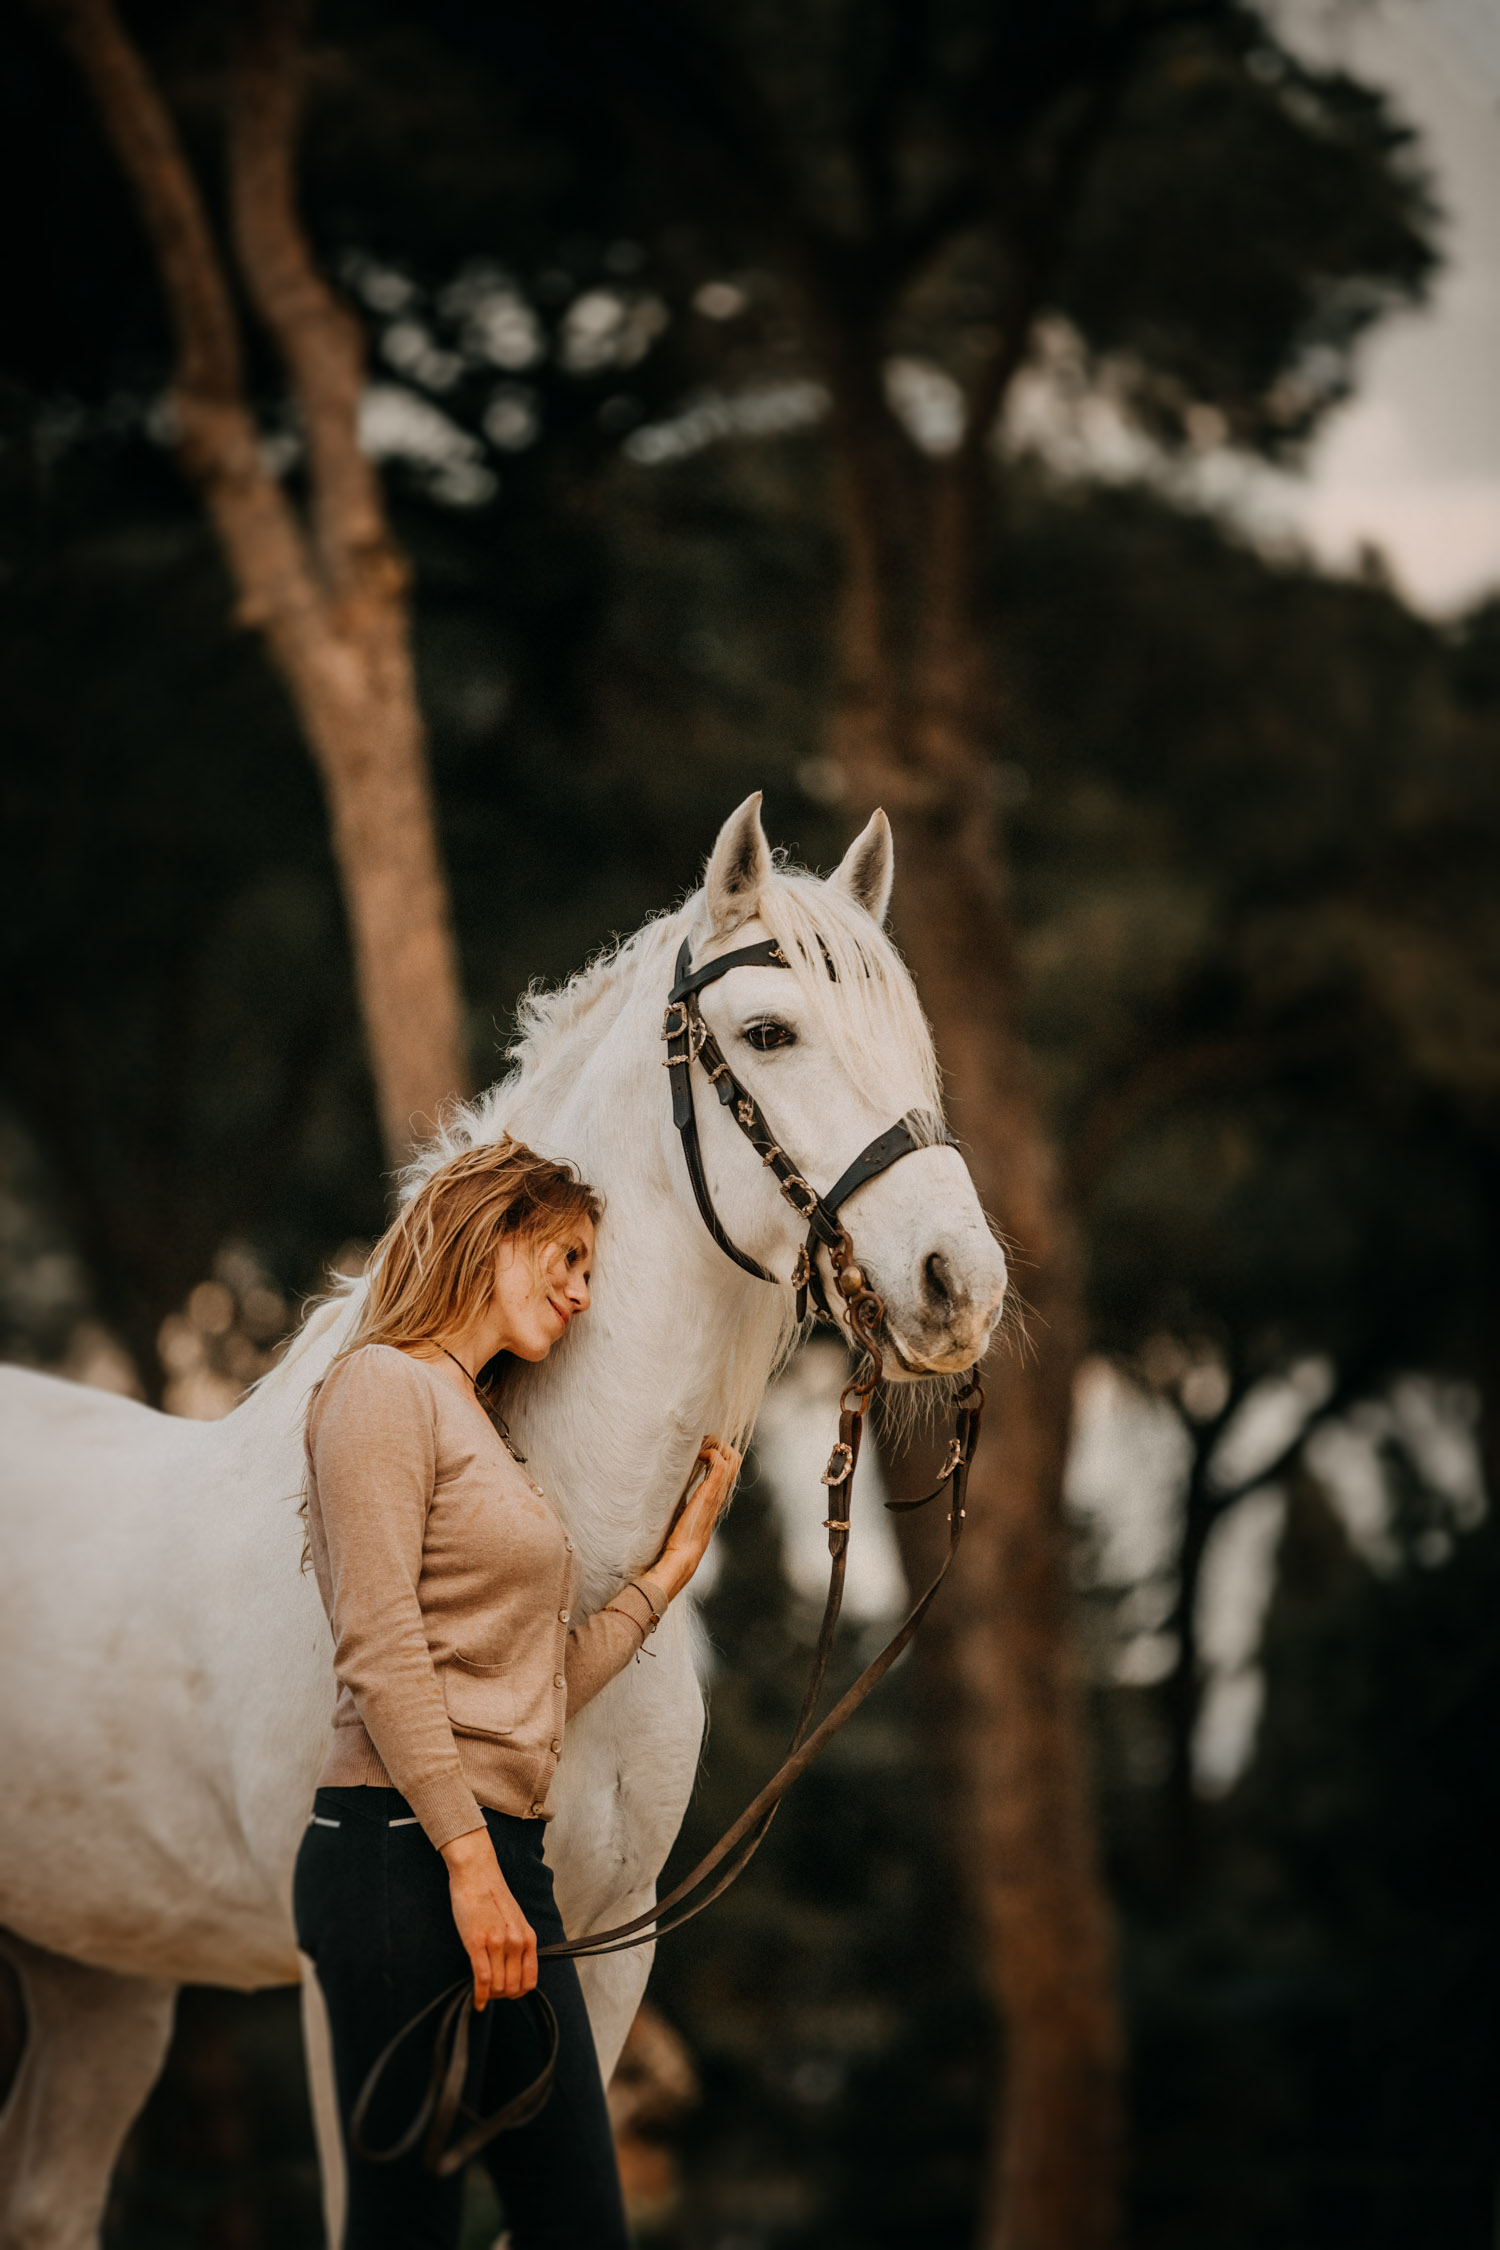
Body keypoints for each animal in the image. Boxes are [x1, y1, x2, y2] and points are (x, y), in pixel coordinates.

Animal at [2, 801, 1007, 2241]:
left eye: (911, 1040)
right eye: (769, 1033)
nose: (958, 1282)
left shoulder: (604, 1953)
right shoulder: (350, 2008)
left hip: (98, 1971)